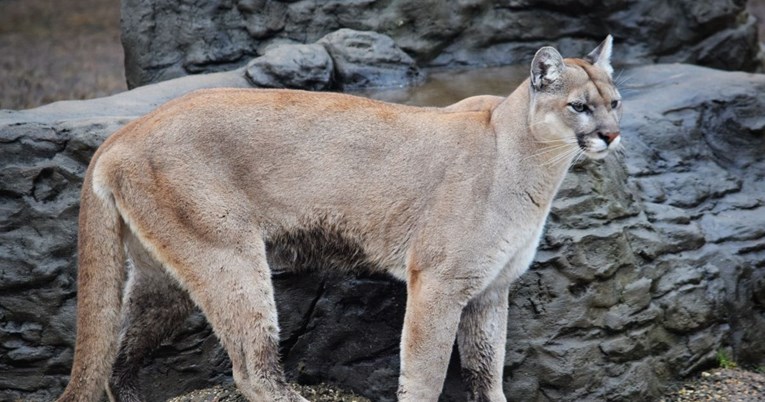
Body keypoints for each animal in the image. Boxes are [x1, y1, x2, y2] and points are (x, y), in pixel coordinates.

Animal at [58, 36, 620, 400]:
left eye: (614, 102)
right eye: (579, 107)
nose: (612, 135)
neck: (533, 163)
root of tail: (124, 132)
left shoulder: (489, 290)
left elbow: (487, 371)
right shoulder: (439, 282)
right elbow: (426, 374)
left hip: (163, 277)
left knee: (116, 359)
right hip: (227, 255)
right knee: (251, 368)